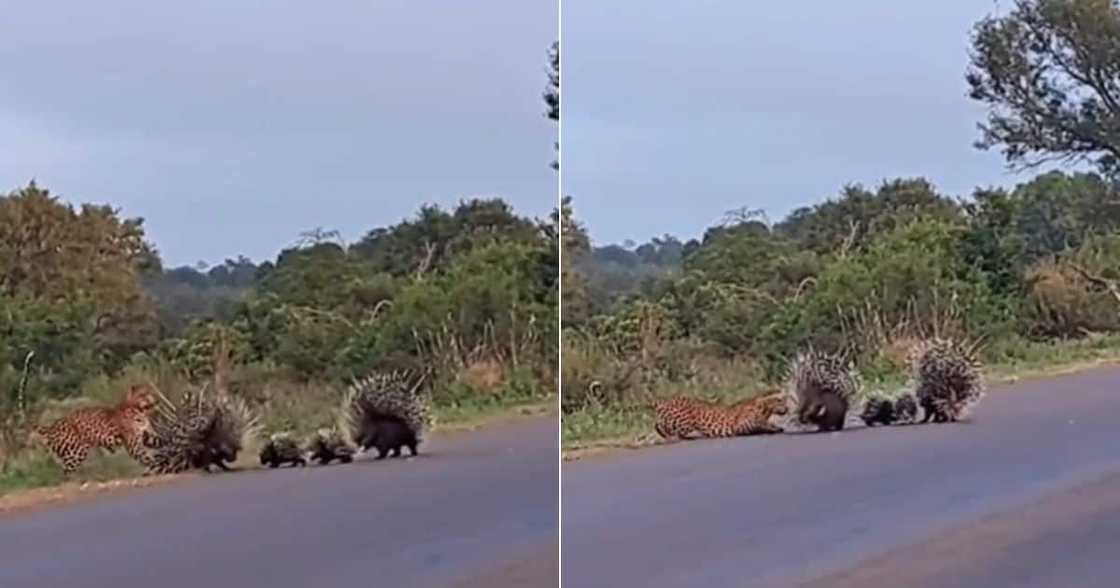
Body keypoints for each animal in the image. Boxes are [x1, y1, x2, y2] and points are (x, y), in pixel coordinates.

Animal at [653, 394, 788, 440]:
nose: (787, 408)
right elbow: (760, 422)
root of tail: (664, 400)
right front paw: (774, 428)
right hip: (685, 423)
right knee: (661, 425)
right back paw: (671, 437)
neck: (766, 409)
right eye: (781, 402)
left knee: (658, 424)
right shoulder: (741, 424)